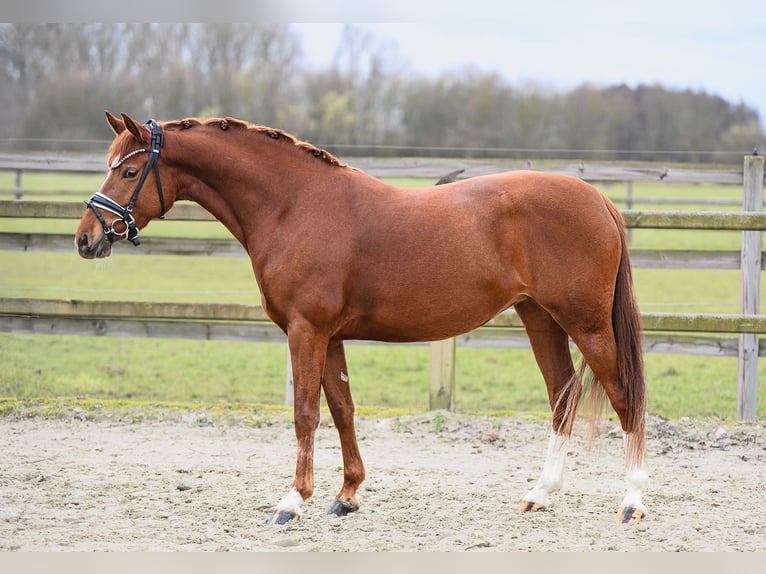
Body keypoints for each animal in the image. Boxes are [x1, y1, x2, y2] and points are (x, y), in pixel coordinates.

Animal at [75, 112, 652, 528]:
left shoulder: (306, 331)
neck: (294, 205)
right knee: (562, 396)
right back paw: (540, 495)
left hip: (586, 324)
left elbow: (306, 413)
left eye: (129, 171)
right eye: (111, 164)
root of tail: (599, 199)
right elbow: (343, 409)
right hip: (541, 318)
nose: (86, 237)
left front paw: (292, 501)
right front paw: (347, 495)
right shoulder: (329, 337)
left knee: (624, 395)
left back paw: (632, 501)